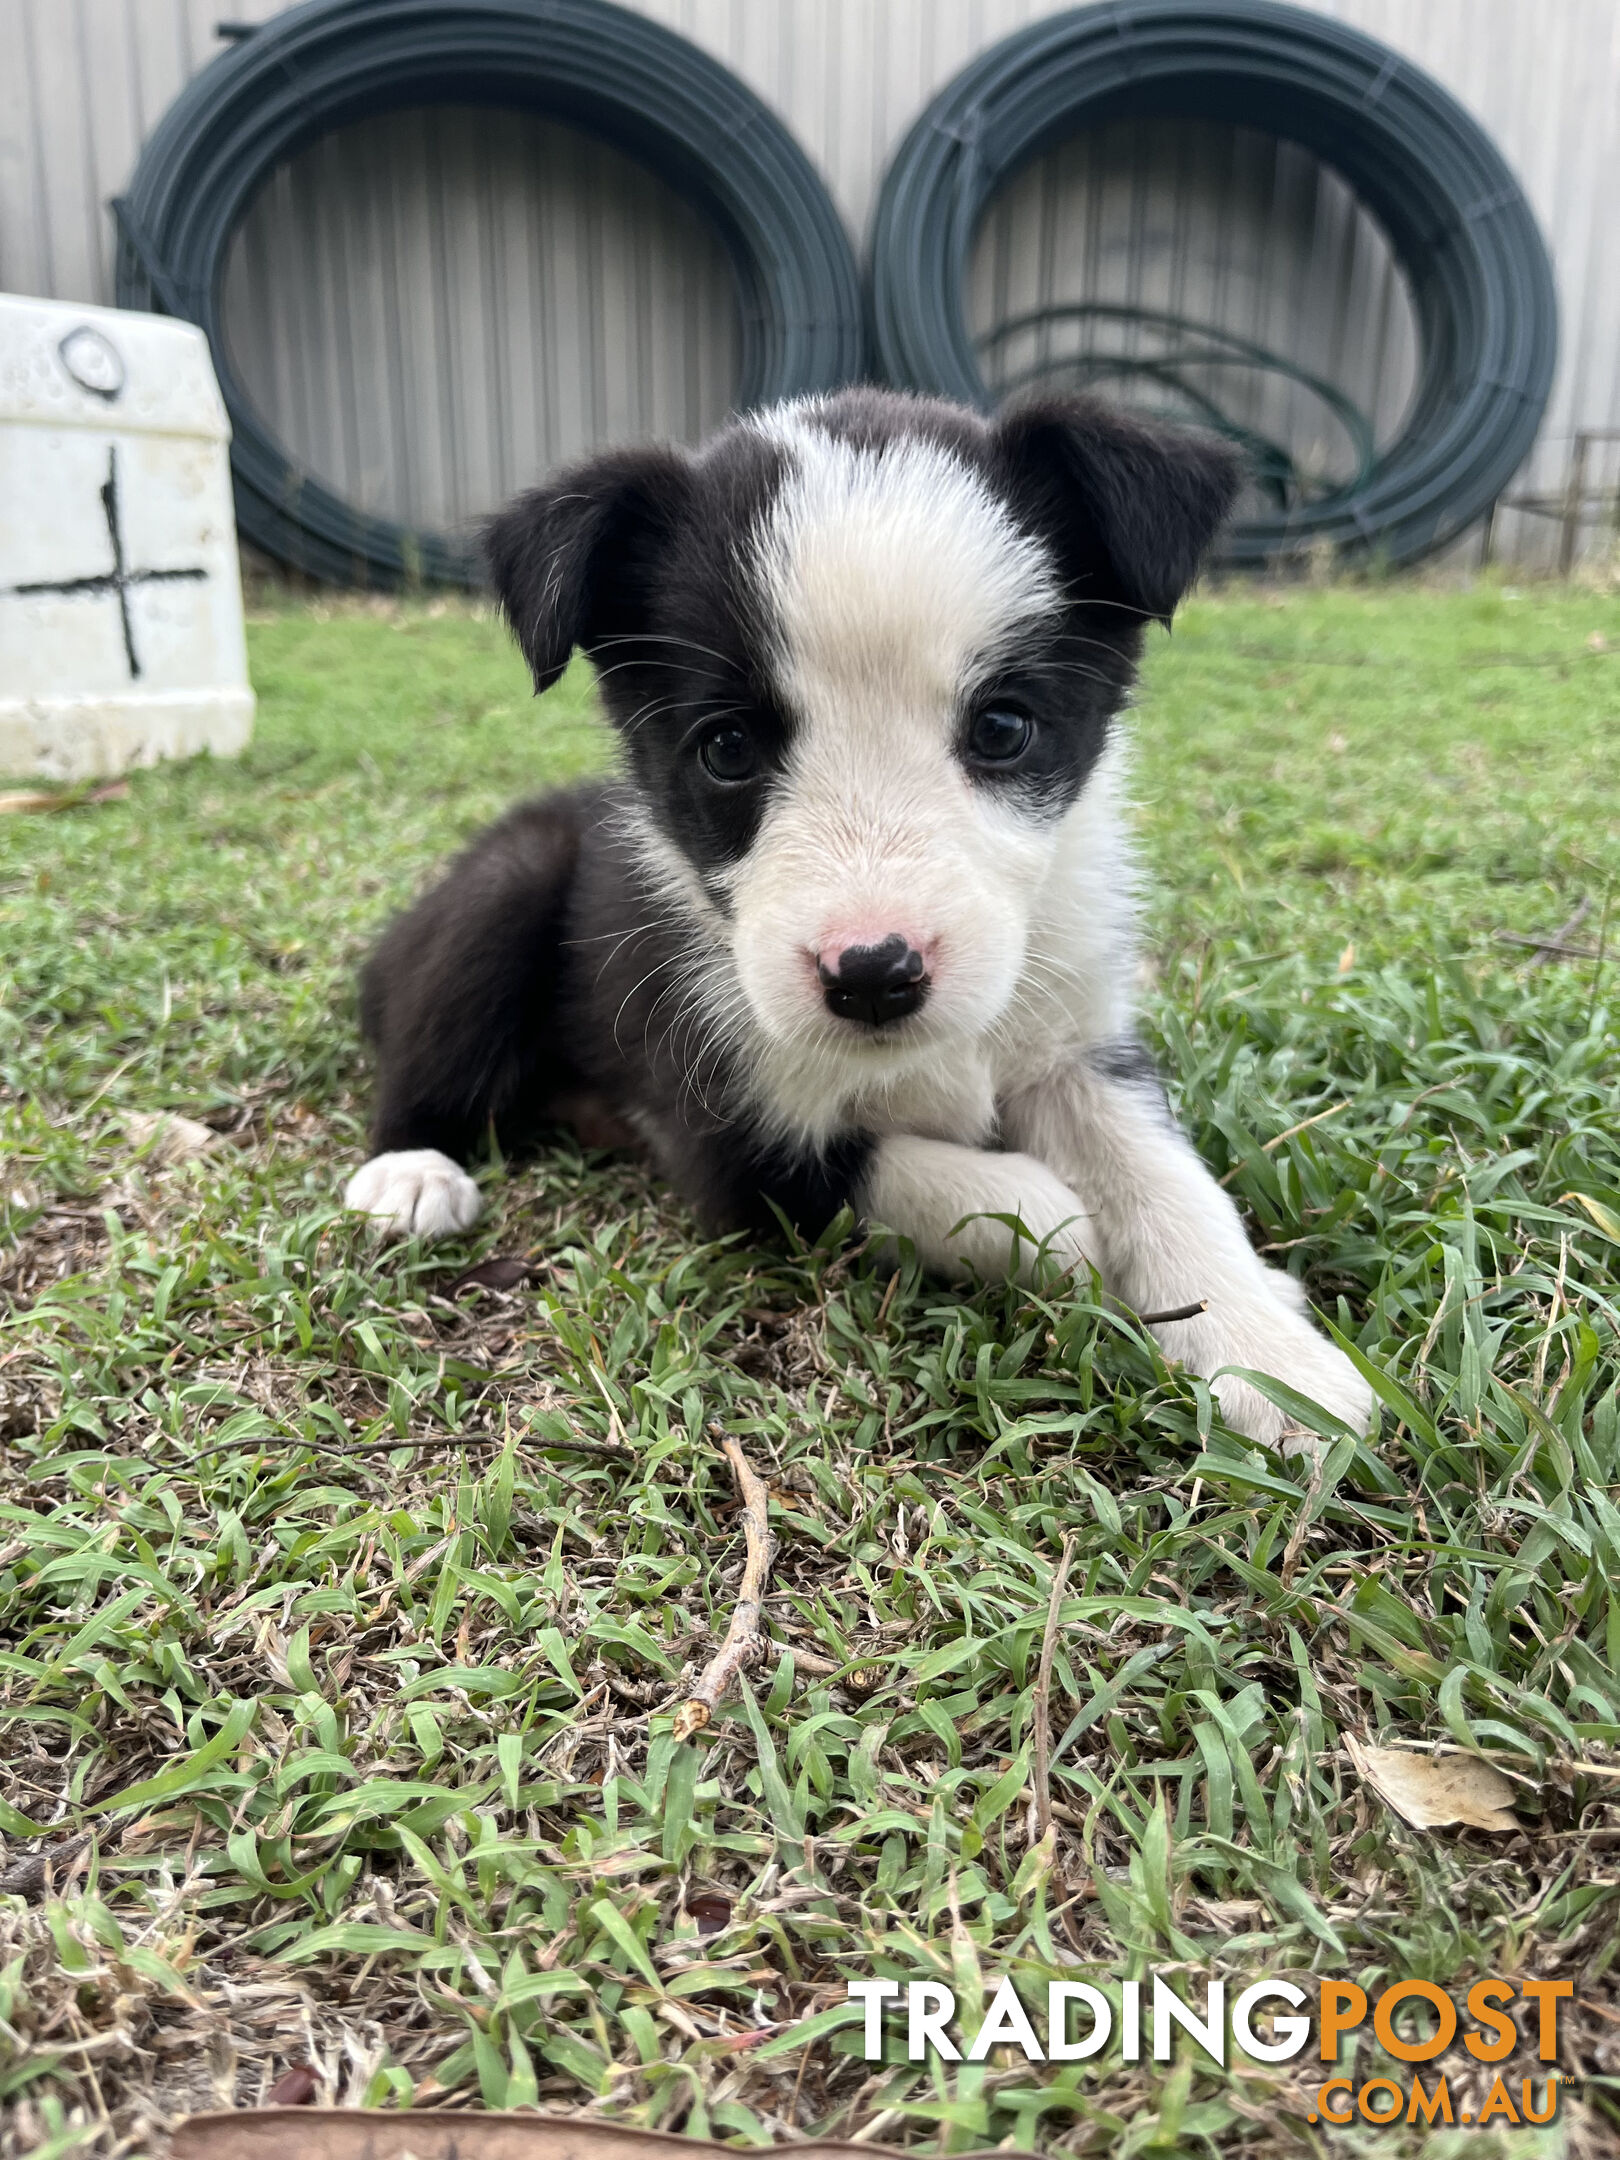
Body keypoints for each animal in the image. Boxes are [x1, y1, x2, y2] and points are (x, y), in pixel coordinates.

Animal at [349, 390, 1373, 1451]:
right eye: (726, 748)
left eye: (1002, 728)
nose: (875, 974)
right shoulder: (726, 1136)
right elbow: (947, 1184)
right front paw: (1061, 1227)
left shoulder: (1077, 1043)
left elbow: (1169, 1178)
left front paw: (1269, 1357)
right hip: (503, 887)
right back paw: (410, 1172)